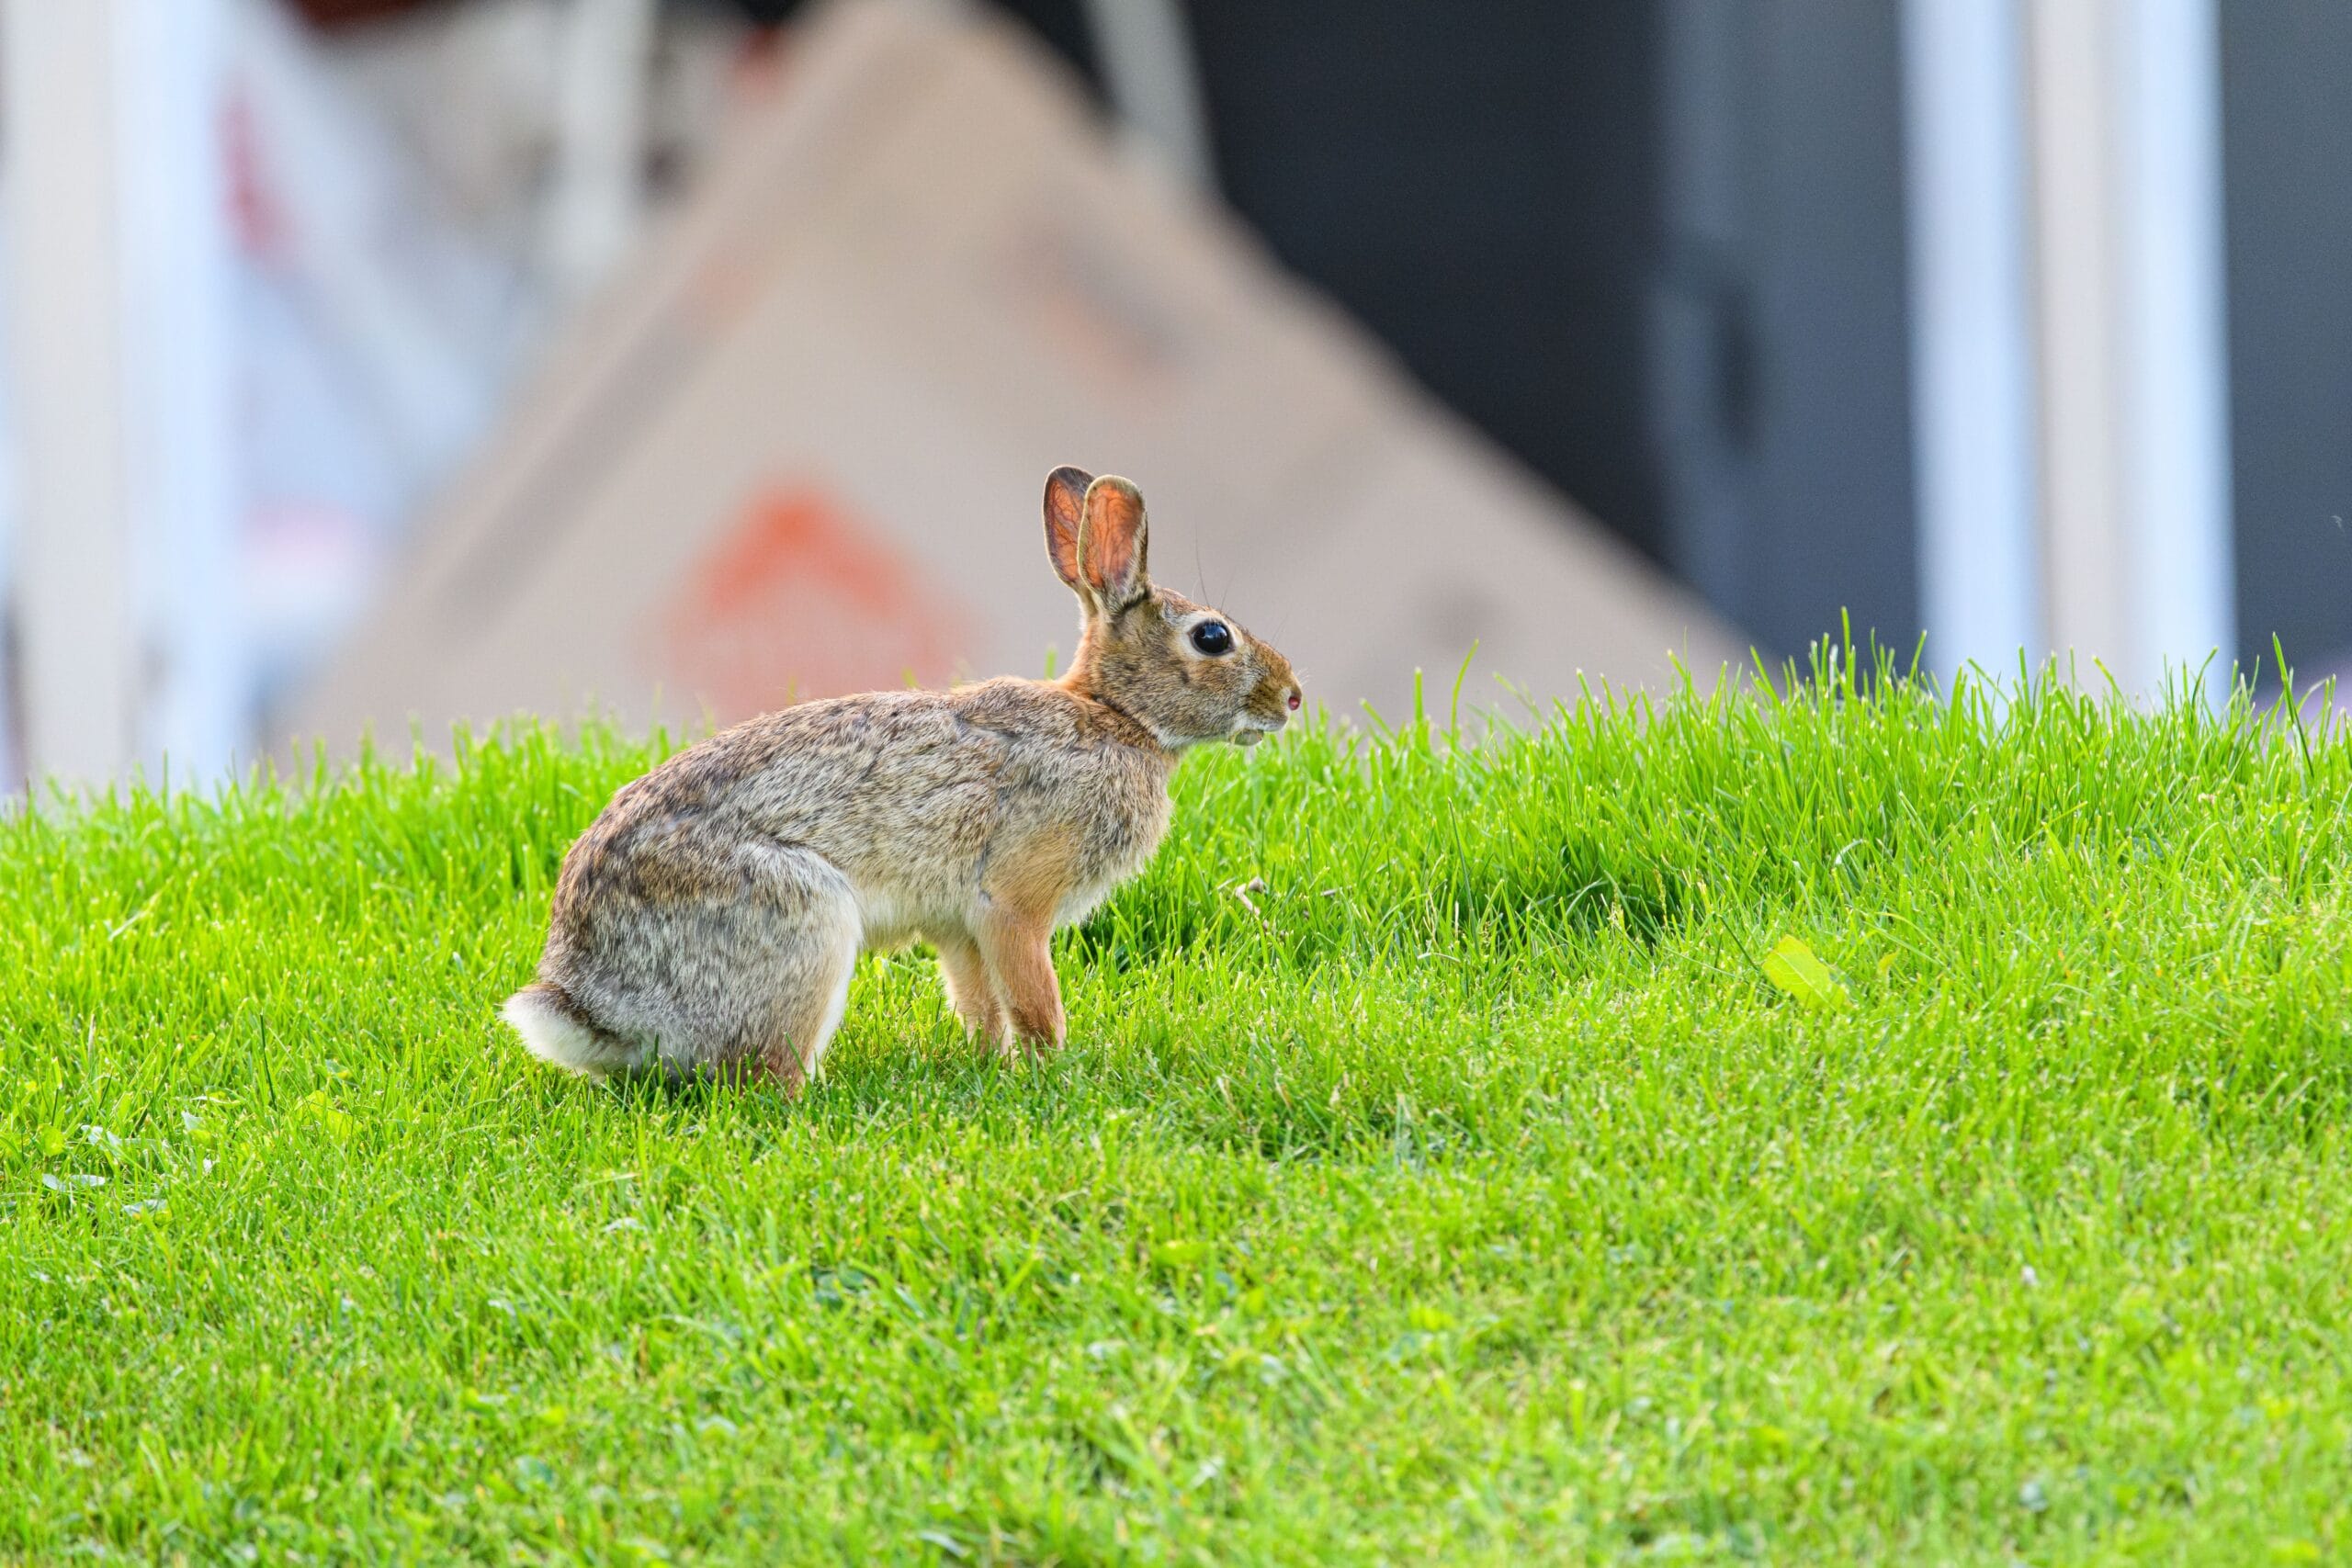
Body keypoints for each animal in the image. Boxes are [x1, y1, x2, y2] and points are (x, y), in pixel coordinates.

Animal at [501, 467, 1303, 1090]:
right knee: (766, 1075)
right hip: (803, 920)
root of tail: (593, 1004)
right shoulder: (1013, 902)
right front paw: (1054, 1065)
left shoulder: (959, 928)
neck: (1115, 715)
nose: (1292, 697)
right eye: (1212, 637)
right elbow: (1033, 994)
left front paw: (994, 1064)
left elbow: (980, 1001)